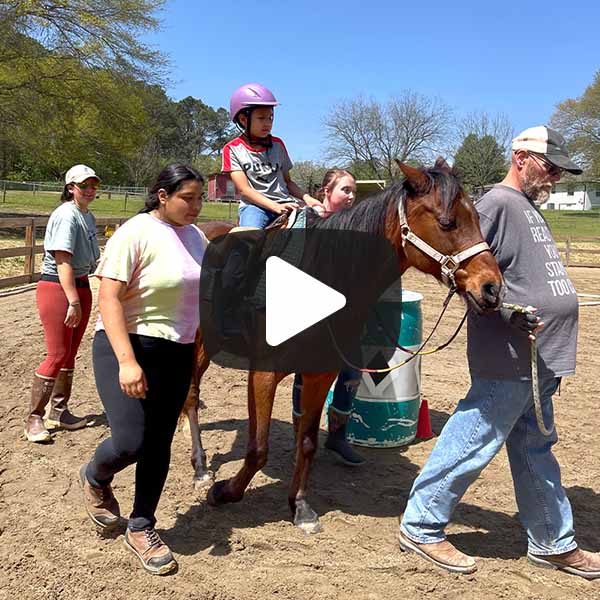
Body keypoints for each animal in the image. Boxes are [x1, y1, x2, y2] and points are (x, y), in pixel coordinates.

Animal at [182, 161, 502, 536]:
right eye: (447, 222)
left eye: (477, 218)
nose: (492, 288)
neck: (316, 278)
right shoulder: (262, 373)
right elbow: (258, 448)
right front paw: (224, 493)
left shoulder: (320, 374)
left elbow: (307, 442)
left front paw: (300, 506)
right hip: (198, 345)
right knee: (191, 396)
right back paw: (200, 467)